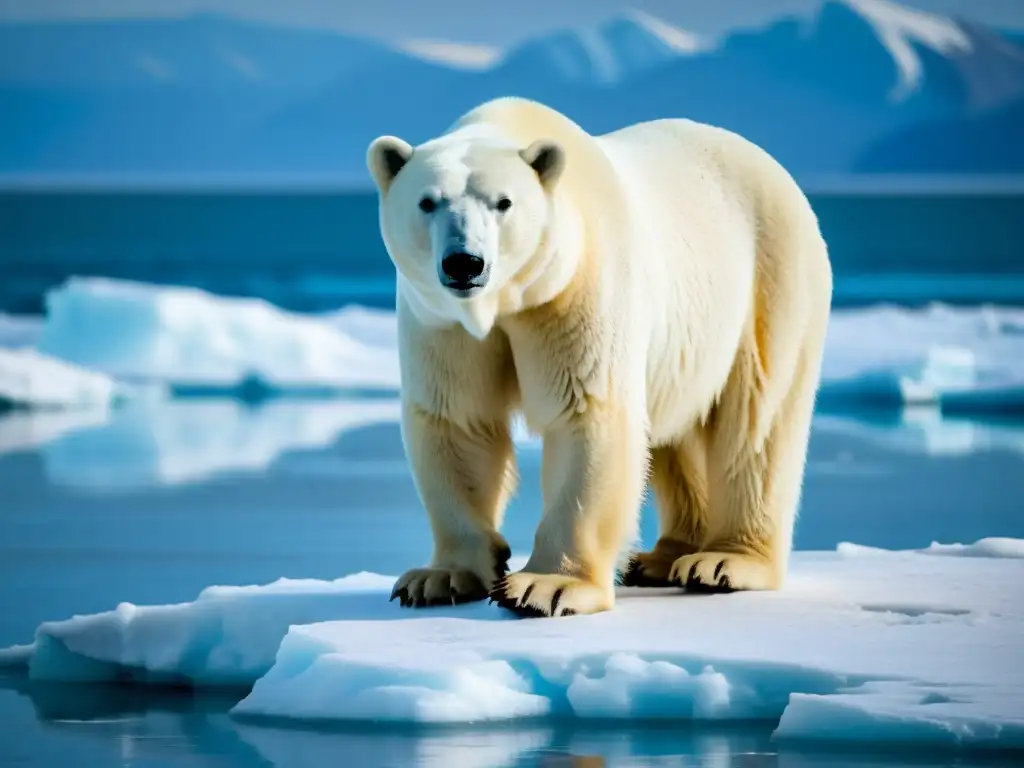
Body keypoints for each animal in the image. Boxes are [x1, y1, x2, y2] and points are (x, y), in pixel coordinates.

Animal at [368, 99, 831, 622]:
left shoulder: (576, 289)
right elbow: (459, 420)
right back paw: (661, 558)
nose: (464, 263)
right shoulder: (441, 320)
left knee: (757, 417)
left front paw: (545, 587)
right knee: (677, 431)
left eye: (504, 203)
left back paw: (722, 562)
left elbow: (586, 413)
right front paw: (439, 577)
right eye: (427, 202)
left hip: (770, 277)